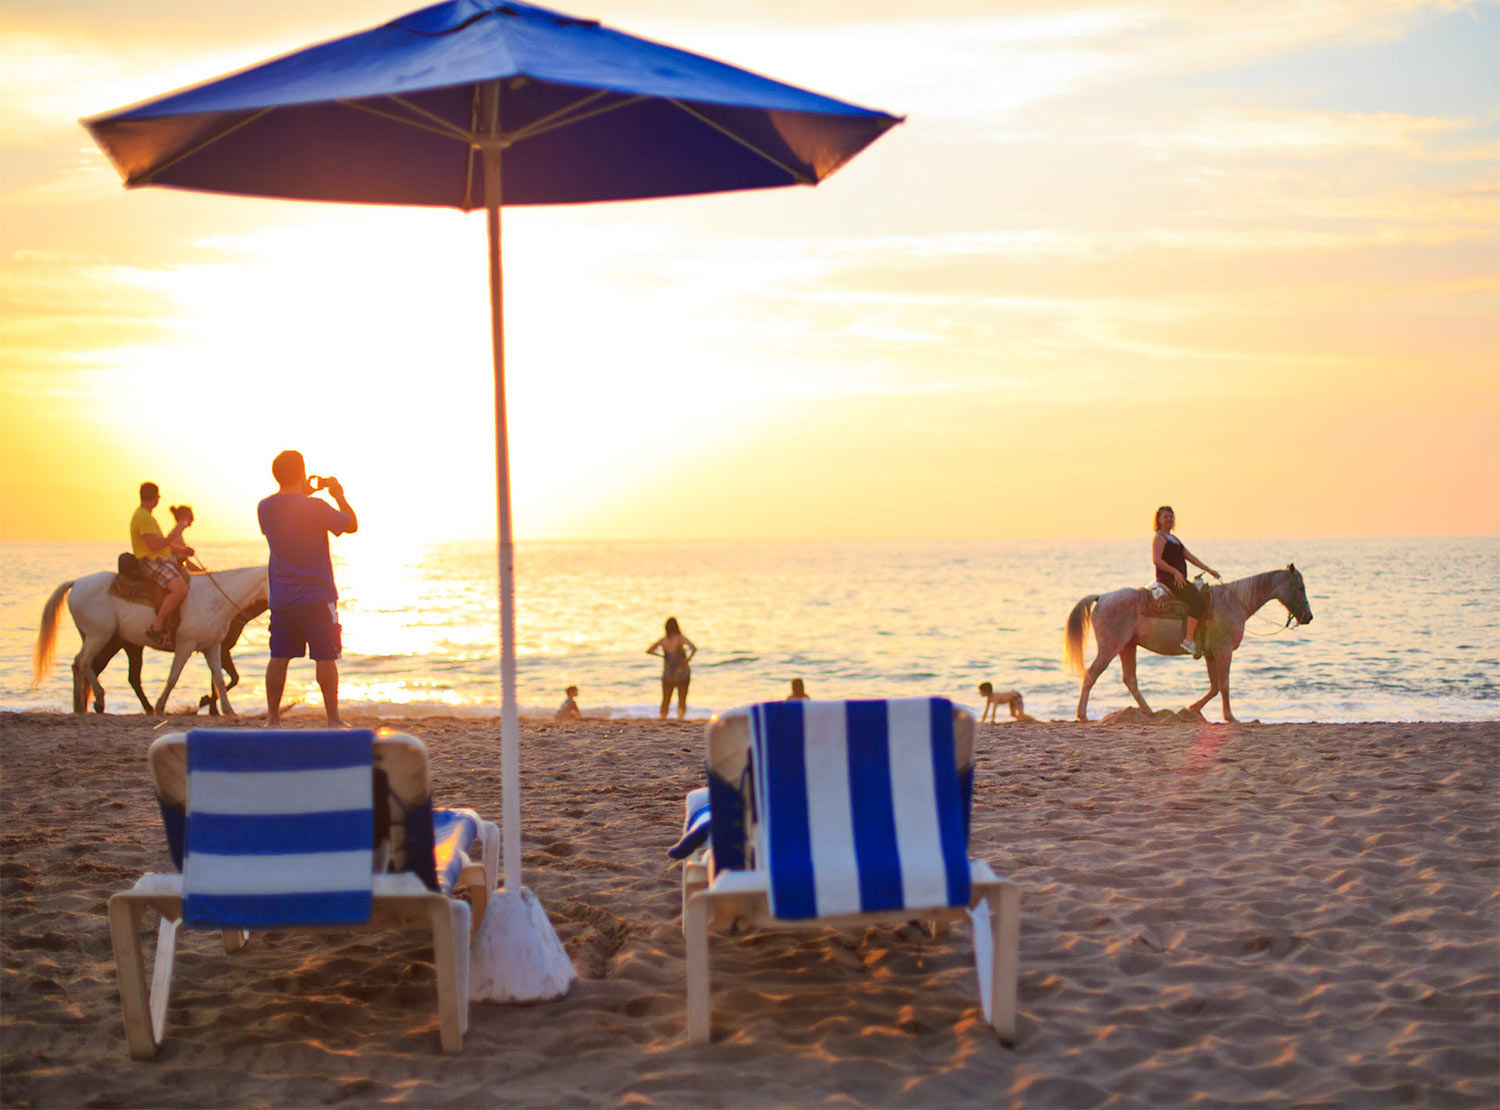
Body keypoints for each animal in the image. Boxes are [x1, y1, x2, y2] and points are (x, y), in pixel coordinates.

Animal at [33, 567, 270, 714]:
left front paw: (228, 710)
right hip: (100, 636)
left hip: (98, 638)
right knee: (83, 662)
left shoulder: (213, 647)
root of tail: (77, 582)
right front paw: (161, 706)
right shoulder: (186, 645)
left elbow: (220, 680)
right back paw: (99, 699)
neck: (215, 598)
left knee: (83, 666)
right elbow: (173, 677)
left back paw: (81, 706)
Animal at [1068, 567, 1314, 723]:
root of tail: (1102, 597)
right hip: (1110, 647)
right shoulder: (1223, 652)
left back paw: (1150, 712)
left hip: (1127, 647)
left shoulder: (1210, 654)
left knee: (1130, 680)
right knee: (1091, 675)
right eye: (1300, 587)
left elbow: (1214, 686)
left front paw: (1191, 709)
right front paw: (1230, 717)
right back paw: (1082, 714)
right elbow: (1224, 685)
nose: (1309, 617)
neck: (1233, 601)